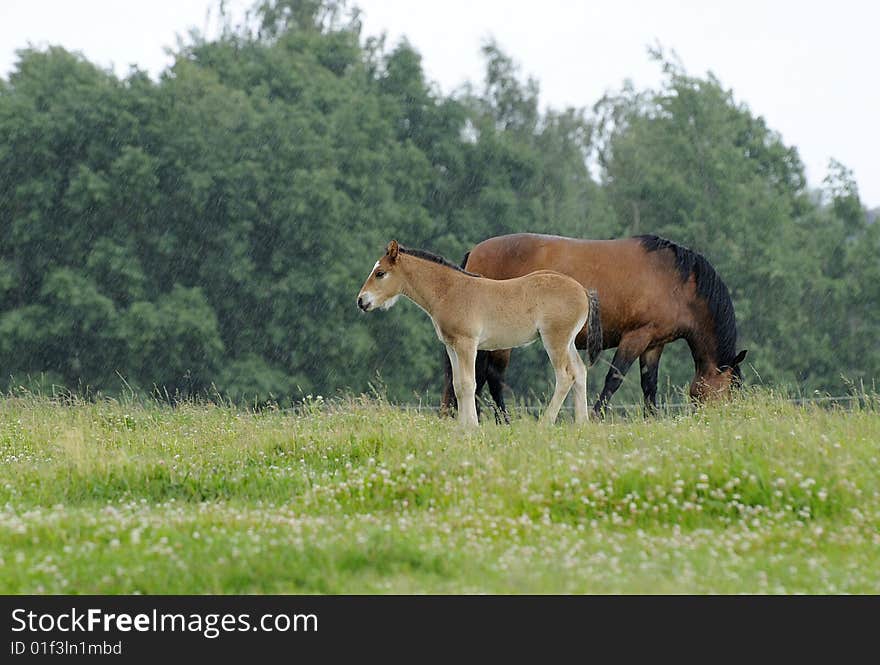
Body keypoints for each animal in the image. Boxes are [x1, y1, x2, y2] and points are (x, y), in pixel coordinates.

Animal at [354, 241, 600, 428]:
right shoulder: (452, 346)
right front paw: (462, 426)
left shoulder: (467, 344)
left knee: (565, 376)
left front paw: (471, 426)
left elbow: (468, 383)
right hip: (568, 342)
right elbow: (458, 385)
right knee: (580, 372)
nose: (361, 301)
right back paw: (582, 424)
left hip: (555, 340)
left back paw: (545, 424)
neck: (449, 290)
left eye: (380, 273)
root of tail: (583, 290)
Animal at [444, 233, 744, 420]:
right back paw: (503, 421)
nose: (722, 420)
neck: (676, 282)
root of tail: (475, 252)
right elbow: (614, 379)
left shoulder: (654, 344)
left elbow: (649, 385)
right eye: (727, 392)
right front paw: (596, 416)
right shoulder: (635, 337)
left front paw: (651, 419)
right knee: (493, 377)